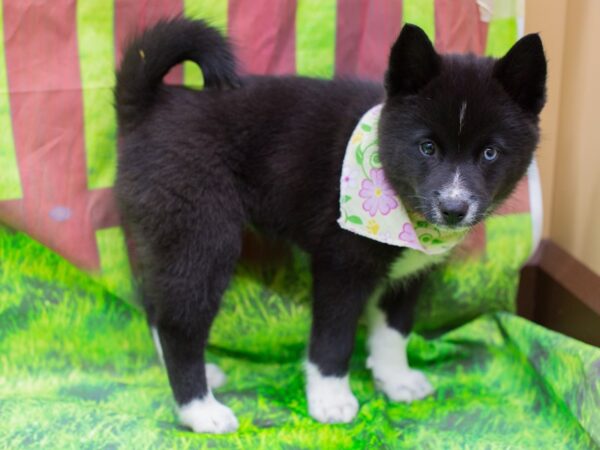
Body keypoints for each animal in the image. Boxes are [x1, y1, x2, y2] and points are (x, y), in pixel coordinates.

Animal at [115, 19, 548, 434]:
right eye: (427, 147)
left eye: (490, 153)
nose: (453, 208)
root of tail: (148, 105)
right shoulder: (340, 266)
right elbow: (333, 339)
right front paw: (330, 399)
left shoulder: (408, 274)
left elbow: (394, 331)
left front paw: (396, 380)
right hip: (201, 236)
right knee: (179, 326)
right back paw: (200, 410)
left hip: (167, 236)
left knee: (156, 306)